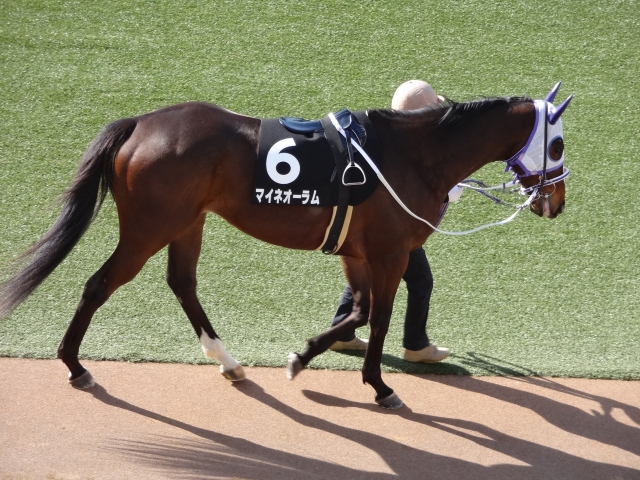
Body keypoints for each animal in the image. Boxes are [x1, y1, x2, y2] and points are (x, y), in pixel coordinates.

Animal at [0, 89, 568, 408]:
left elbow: (359, 313)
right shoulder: (390, 252)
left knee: (182, 282)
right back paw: (74, 364)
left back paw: (227, 360)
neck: (412, 154)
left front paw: (301, 357)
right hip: (148, 228)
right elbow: (380, 317)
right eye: (559, 143)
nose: (557, 202)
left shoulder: (355, 252)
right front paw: (379, 386)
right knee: (99, 284)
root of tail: (139, 123)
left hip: (187, 223)